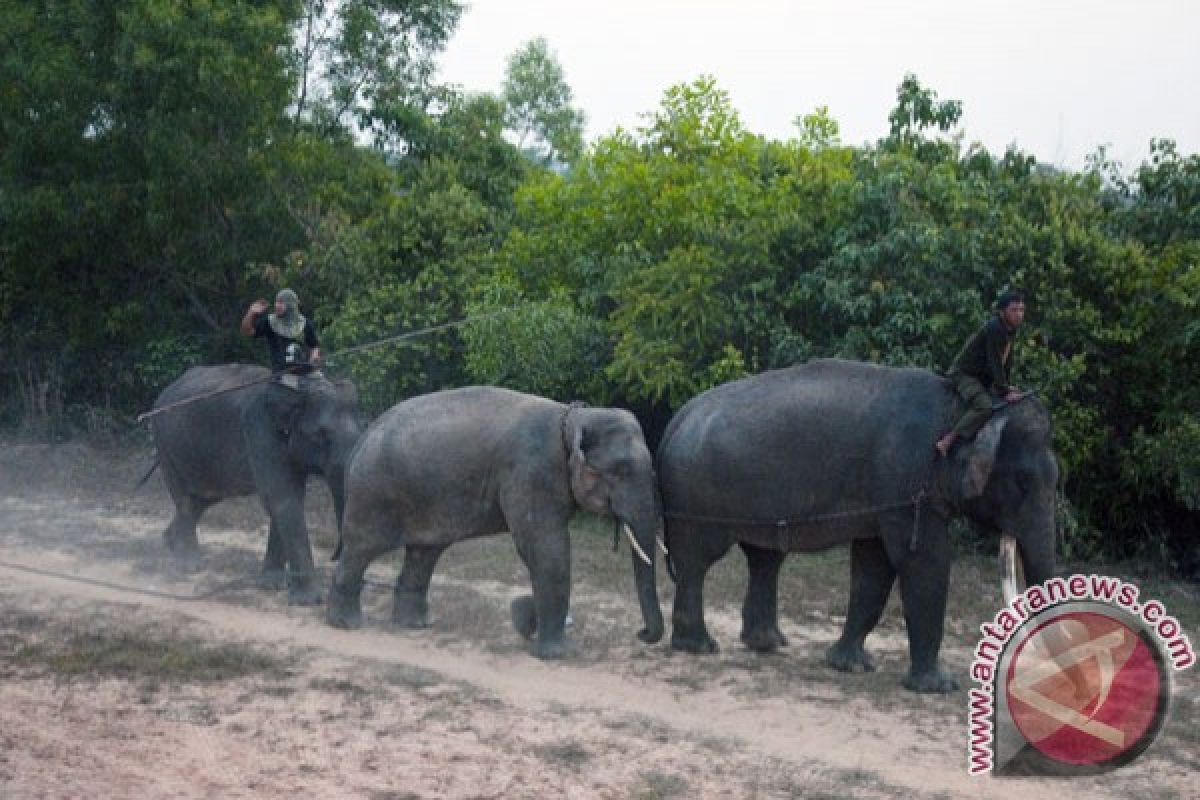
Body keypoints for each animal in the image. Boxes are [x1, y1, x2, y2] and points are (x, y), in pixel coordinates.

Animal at [147, 367, 360, 604]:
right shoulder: (259, 429)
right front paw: (308, 600)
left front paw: (273, 584)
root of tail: (164, 393)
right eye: (321, 435)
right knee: (186, 499)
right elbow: (284, 498)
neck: (298, 388)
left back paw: (170, 542)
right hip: (166, 444)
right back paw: (190, 565)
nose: (333, 558)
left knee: (202, 499)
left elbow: (285, 500)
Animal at [326, 386, 667, 657]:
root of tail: (363, 437)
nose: (641, 634)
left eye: (652, 473)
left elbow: (540, 553)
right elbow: (544, 548)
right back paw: (346, 624)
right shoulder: (532, 471)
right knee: (361, 549)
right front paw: (558, 653)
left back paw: (413, 625)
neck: (574, 417)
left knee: (423, 553)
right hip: (373, 494)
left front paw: (526, 620)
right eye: (622, 470)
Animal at [657, 359, 1060, 690]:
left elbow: (873, 567)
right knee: (698, 561)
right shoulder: (904, 487)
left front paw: (849, 666)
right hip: (697, 496)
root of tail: (676, 420)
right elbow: (924, 561)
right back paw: (699, 647)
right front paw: (938, 686)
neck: (959, 409)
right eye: (1023, 482)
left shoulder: (882, 499)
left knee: (764, 558)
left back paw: (767, 644)